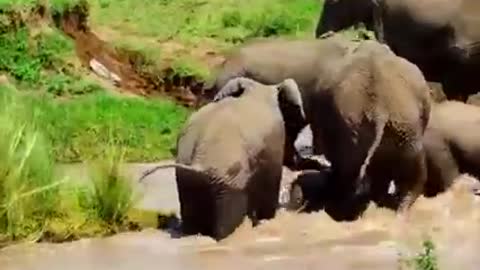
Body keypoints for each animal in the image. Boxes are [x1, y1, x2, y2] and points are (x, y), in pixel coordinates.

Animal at [139, 77, 306, 240]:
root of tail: (198, 162)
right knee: (226, 222)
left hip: (188, 178)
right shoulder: (274, 141)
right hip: (229, 181)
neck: (259, 88)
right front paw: (265, 219)